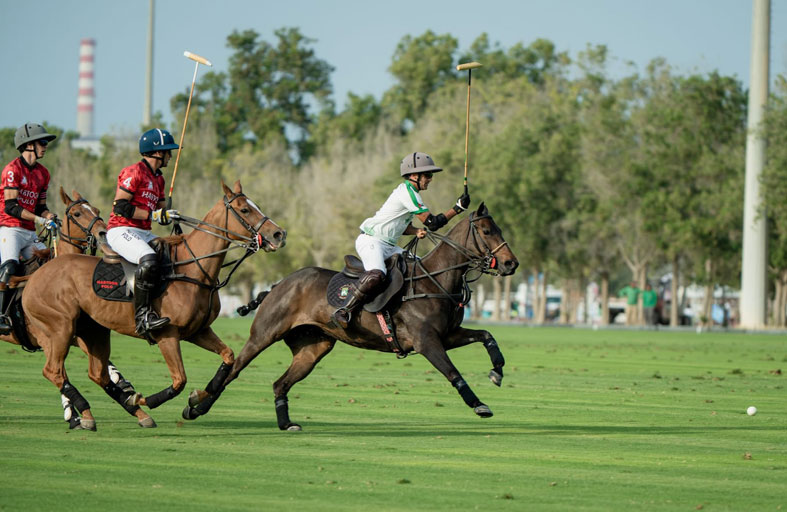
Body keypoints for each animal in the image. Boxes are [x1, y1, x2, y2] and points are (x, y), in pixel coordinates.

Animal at [20, 180, 286, 428]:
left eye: (255, 206)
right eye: (244, 209)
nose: (279, 234)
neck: (193, 270)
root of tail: (36, 275)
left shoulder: (198, 331)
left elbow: (228, 357)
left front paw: (197, 400)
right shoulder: (167, 334)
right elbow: (179, 380)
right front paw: (142, 398)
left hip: (94, 331)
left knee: (97, 373)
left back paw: (112, 414)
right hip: (60, 328)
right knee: (54, 370)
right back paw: (90, 413)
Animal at [184, 202, 516, 430]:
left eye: (499, 229)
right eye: (487, 231)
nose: (511, 264)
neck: (433, 281)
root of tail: (278, 284)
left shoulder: (447, 336)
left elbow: (487, 336)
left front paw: (497, 371)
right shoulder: (426, 342)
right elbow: (453, 372)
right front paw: (479, 405)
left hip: (313, 347)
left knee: (280, 383)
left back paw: (286, 423)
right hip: (264, 334)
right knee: (234, 368)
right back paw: (196, 406)